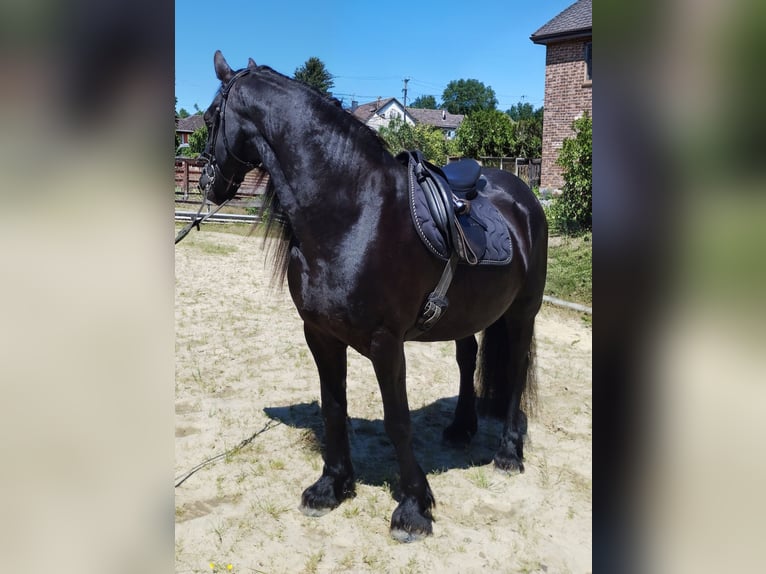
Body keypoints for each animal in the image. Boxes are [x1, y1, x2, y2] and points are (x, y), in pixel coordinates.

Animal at [198, 51, 548, 542]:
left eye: (211, 118)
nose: (207, 184)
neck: (353, 213)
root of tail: (524, 197)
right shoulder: (319, 335)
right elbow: (333, 408)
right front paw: (331, 487)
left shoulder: (386, 343)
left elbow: (397, 420)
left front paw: (414, 509)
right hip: (465, 314)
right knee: (467, 359)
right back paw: (461, 428)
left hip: (521, 313)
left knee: (515, 371)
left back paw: (508, 453)